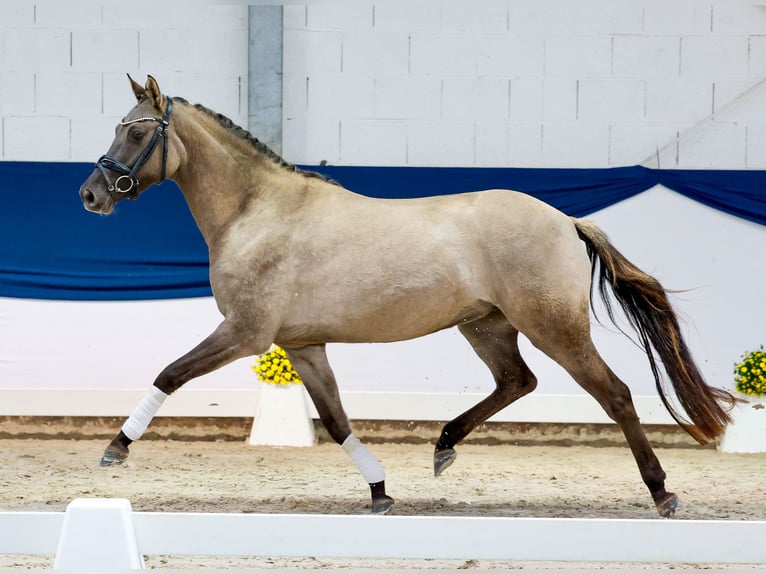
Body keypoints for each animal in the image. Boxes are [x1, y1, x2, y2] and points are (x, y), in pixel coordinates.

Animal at [79, 75, 735, 517]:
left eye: (136, 129)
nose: (91, 194)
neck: (257, 212)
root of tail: (566, 220)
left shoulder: (246, 333)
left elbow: (169, 373)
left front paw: (115, 450)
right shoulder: (303, 344)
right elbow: (337, 420)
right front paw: (380, 491)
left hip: (554, 327)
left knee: (614, 394)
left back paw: (662, 492)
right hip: (487, 325)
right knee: (517, 381)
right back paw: (443, 446)